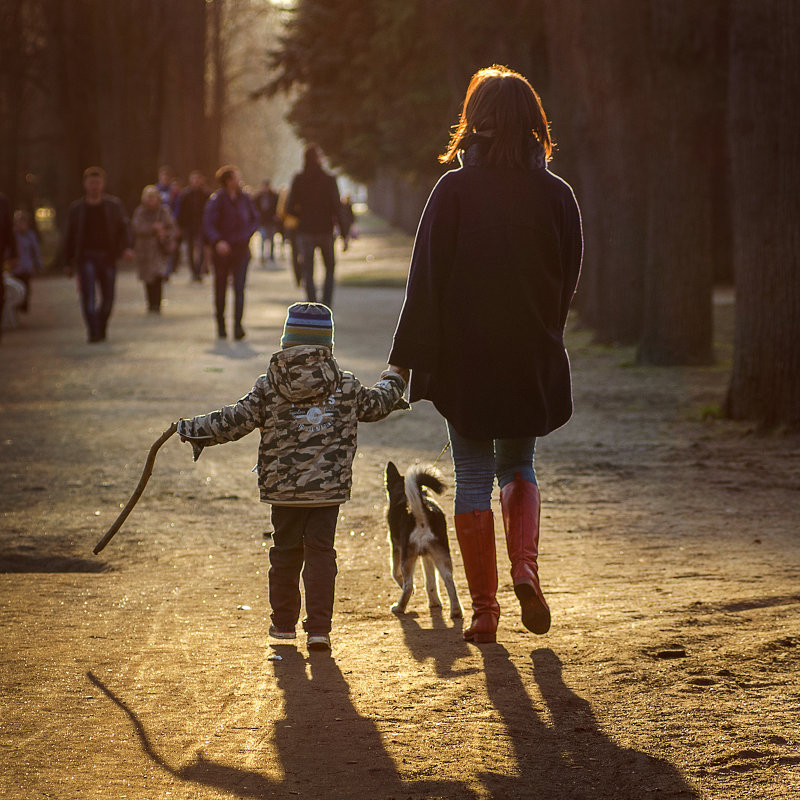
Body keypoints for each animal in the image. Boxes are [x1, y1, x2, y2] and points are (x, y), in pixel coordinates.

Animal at [386, 460, 462, 620]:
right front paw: (435, 602)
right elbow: (431, 582)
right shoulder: (427, 555)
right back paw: (456, 611)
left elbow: (395, 573)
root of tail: (422, 514)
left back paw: (399, 607)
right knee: (449, 581)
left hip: (408, 556)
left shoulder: (396, 547)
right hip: (441, 555)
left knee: (408, 585)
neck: (403, 495)